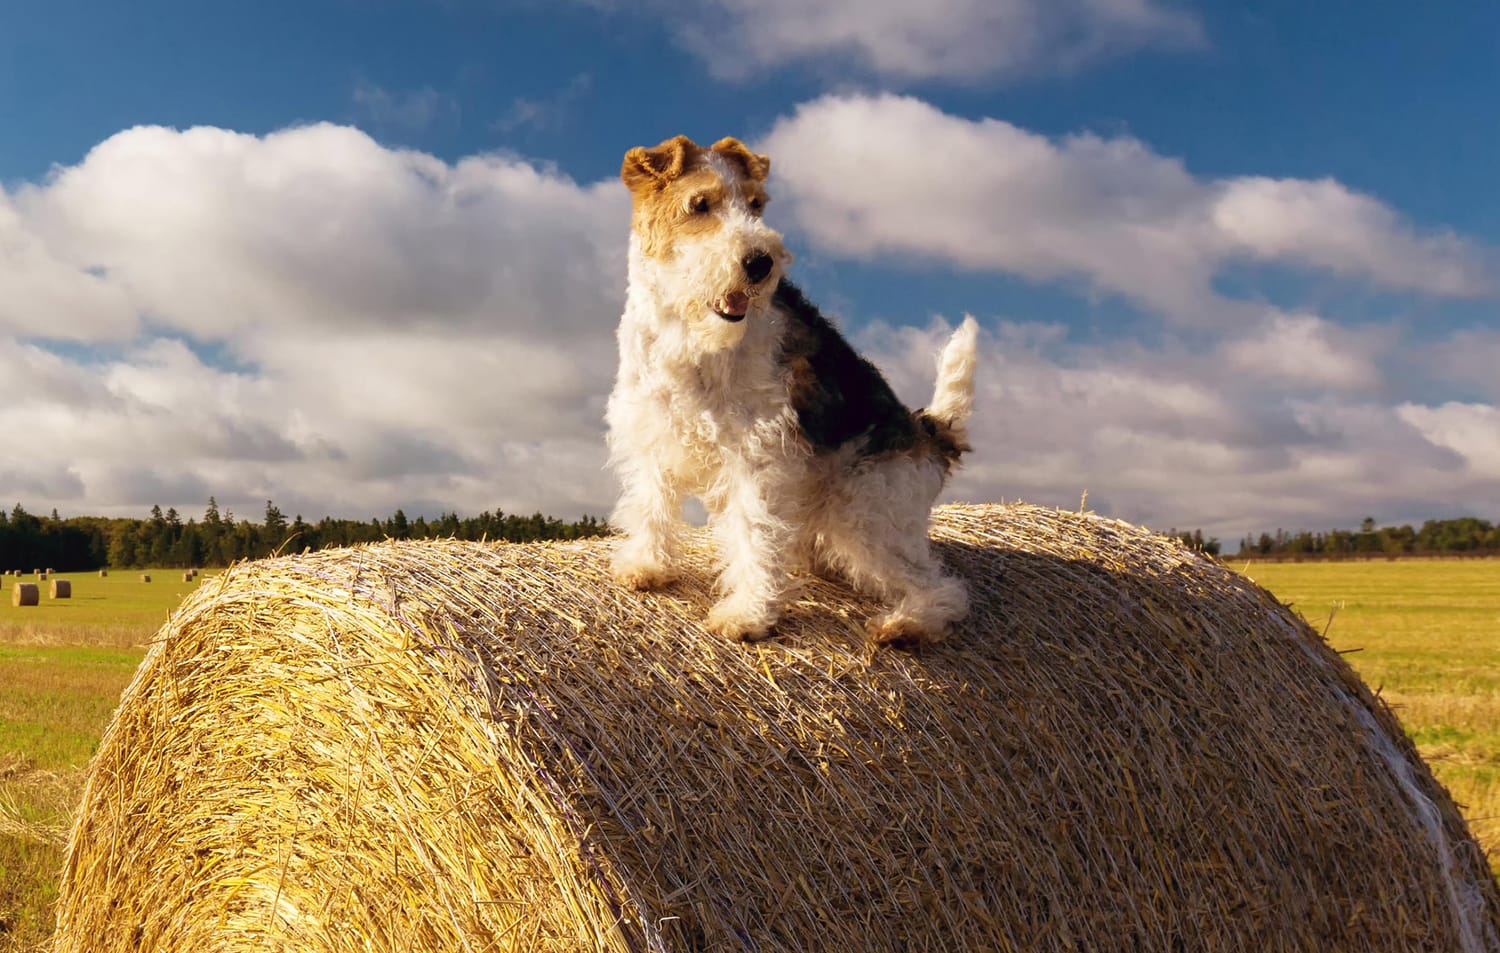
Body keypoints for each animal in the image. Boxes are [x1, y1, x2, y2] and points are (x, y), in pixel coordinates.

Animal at [603, 135, 978, 648]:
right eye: (700, 204)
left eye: (756, 205)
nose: (760, 263)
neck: (689, 334)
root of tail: (929, 434)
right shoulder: (650, 428)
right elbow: (651, 503)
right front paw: (644, 566)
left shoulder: (757, 452)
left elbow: (754, 532)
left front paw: (747, 614)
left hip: (863, 514)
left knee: (944, 588)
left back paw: (903, 625)